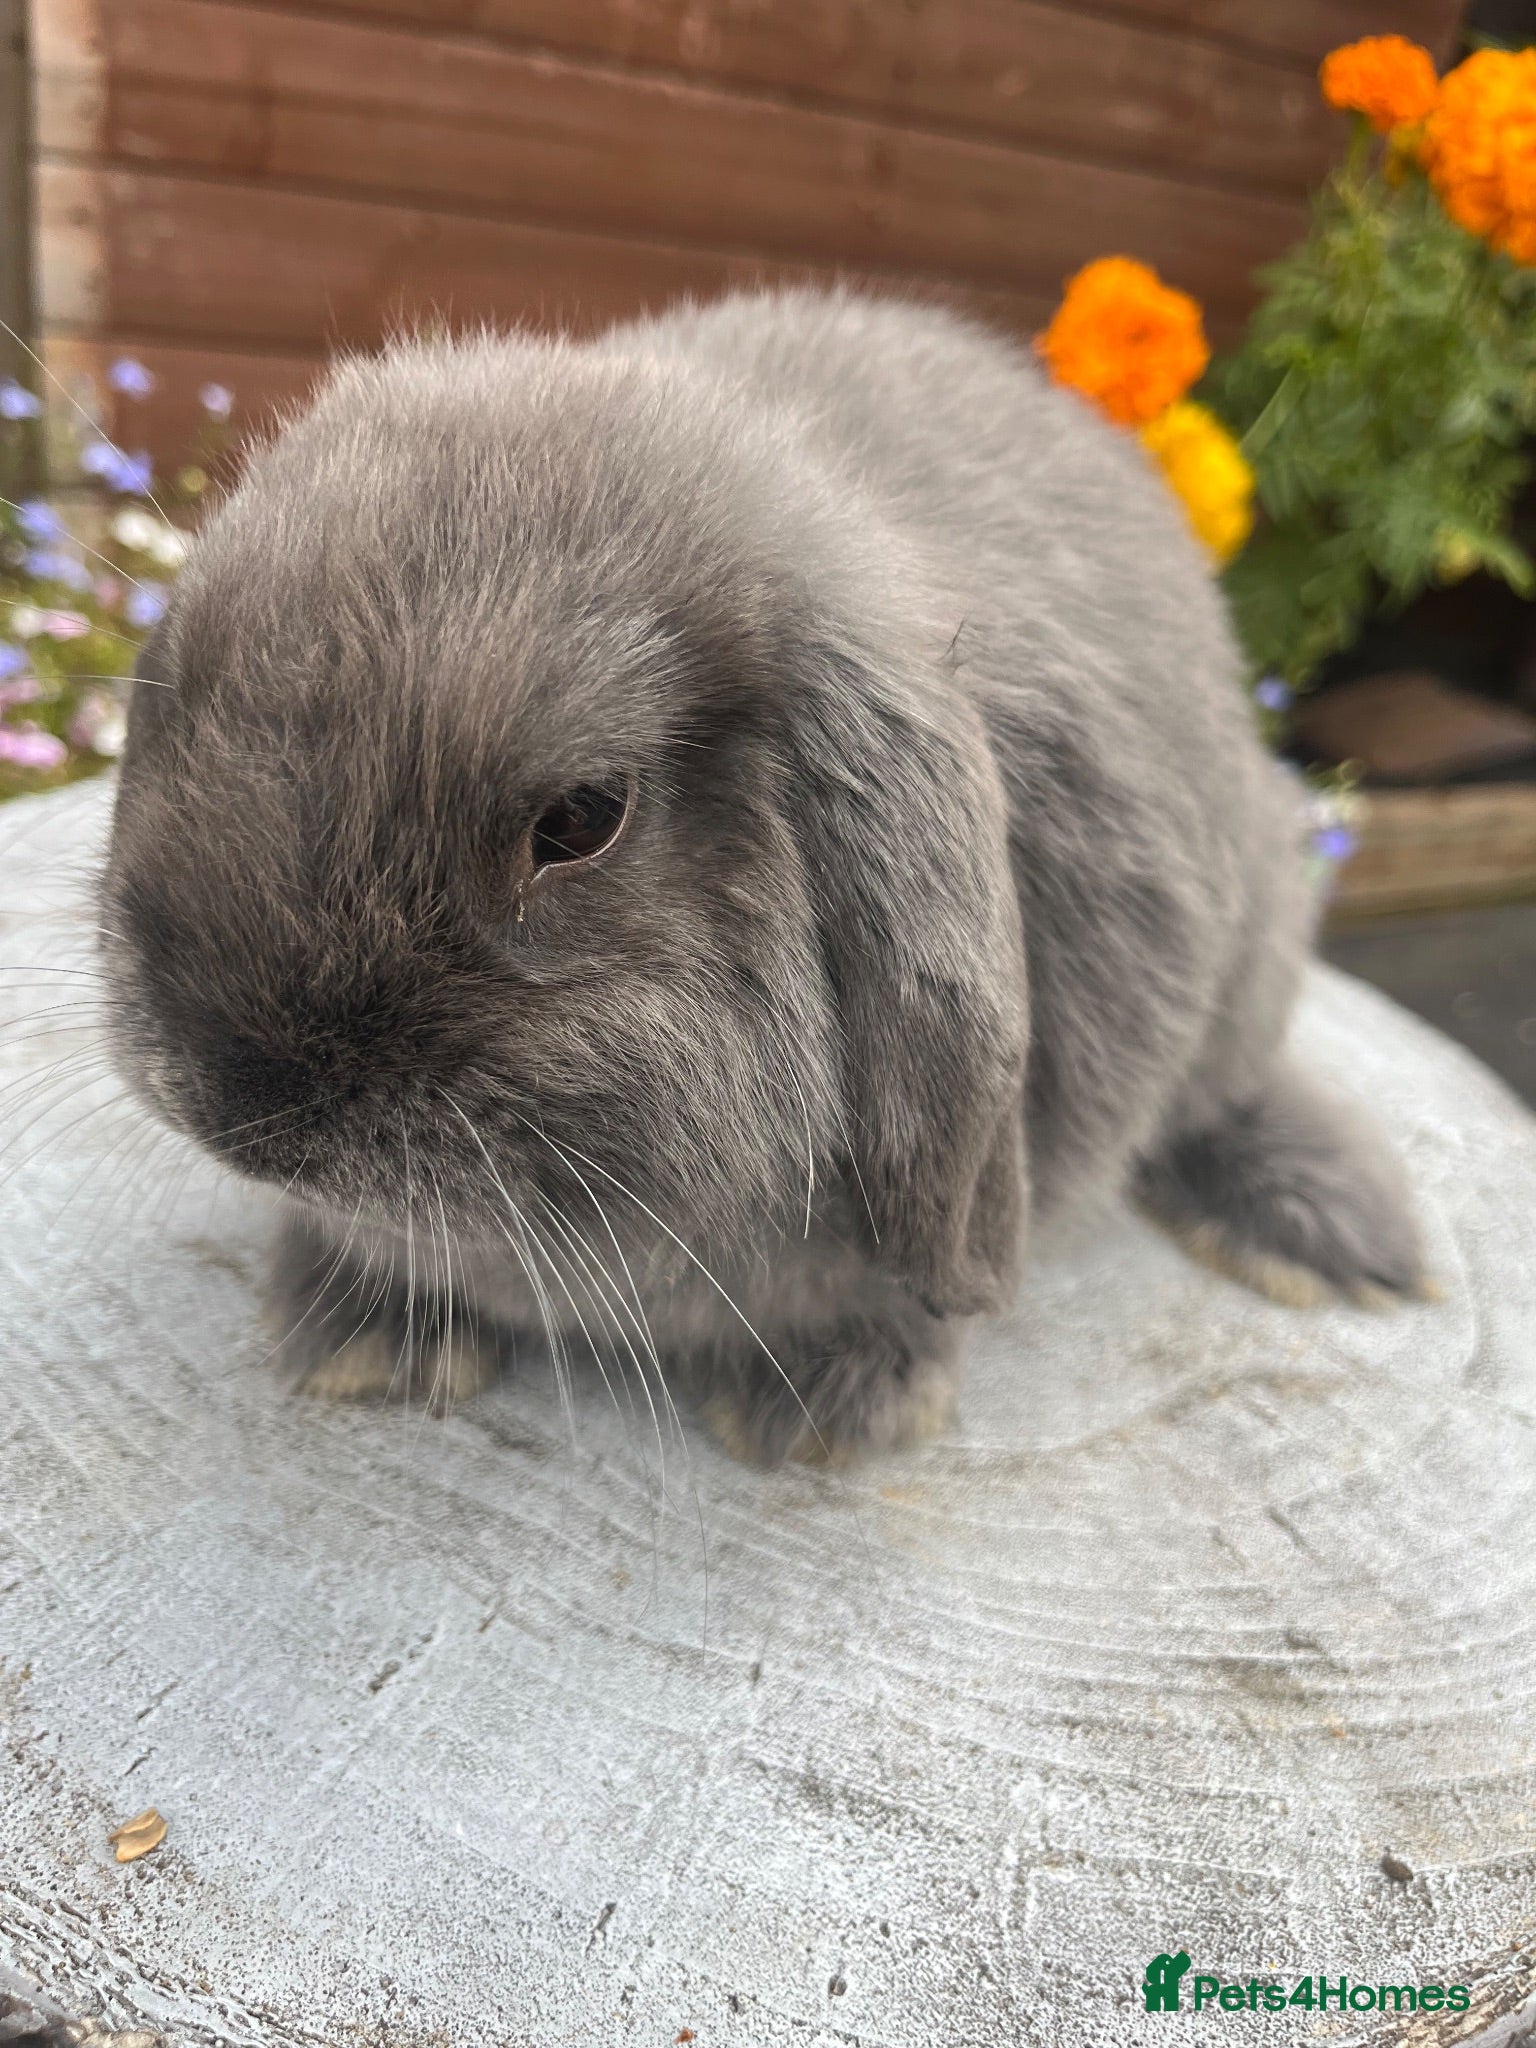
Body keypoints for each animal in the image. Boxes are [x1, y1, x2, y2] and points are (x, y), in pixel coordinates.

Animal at [99, 288, 1425, 1467]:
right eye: (174, 692)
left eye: (580, 817)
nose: (237, 1105)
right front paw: (362, 1333)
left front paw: (830, 1409)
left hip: (1250, 958)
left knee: (1225, 1094)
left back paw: (1335, 1235)